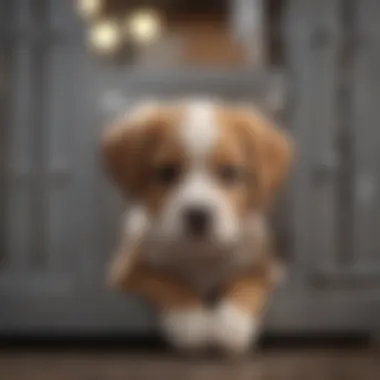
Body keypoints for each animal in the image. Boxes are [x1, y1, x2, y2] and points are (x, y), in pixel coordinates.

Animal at [102, 99, 292, 354]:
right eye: (167, 172)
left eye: (230, 172)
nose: (198, 215)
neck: (200, 254)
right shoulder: (125, 271)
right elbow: (167, 279)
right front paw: (190, 321)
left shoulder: (266, 267)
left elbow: (246, 282)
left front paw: (232, 323)